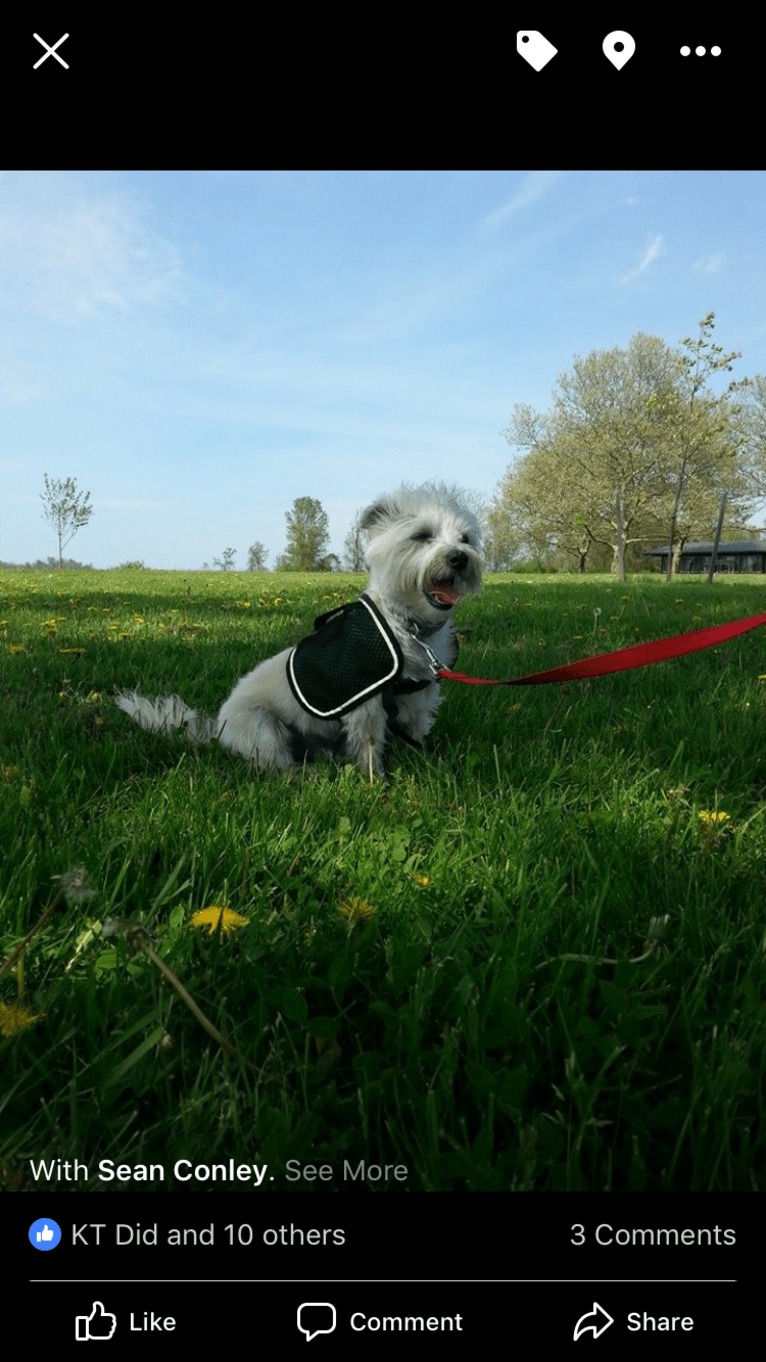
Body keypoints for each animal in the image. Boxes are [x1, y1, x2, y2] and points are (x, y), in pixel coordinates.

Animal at [116, 482, 479, 779]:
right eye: (422, 535)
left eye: (466, 539)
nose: (460, 558)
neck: (410, 627)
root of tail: (217, 731)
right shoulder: (367, 705)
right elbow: (369, 746)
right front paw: (376, 781)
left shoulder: (420, 698)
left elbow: (416, 732)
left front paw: (422, 763)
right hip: (263, 727)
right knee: (276, 765)